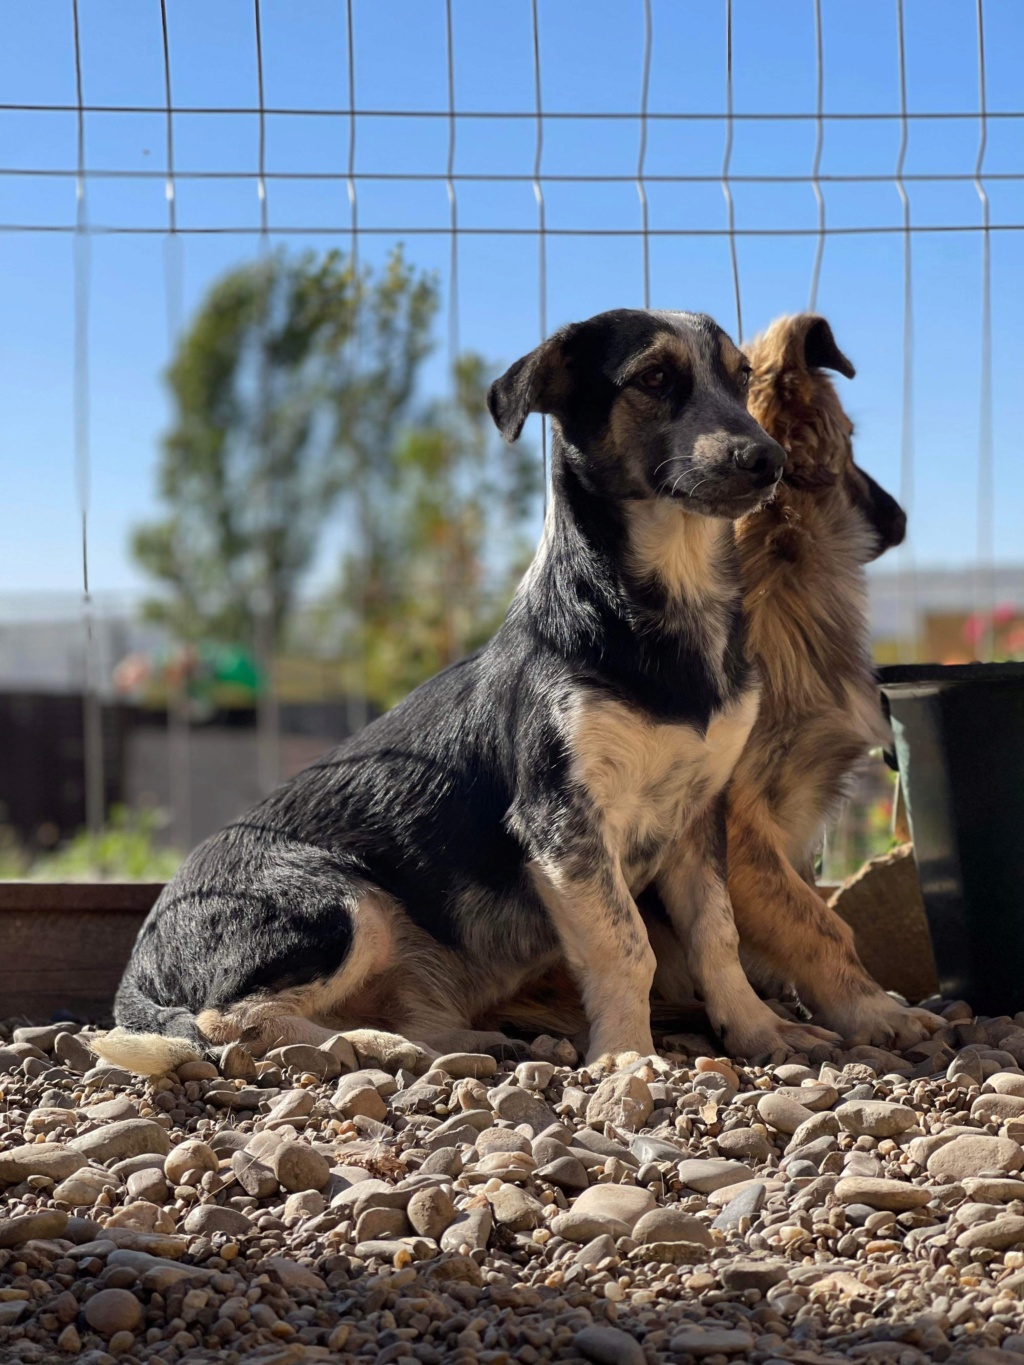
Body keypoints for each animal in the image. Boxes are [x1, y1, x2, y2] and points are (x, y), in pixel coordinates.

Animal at [100, 309, 846, 1075]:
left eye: (741, 378)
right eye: (654, 377)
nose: (767, 460)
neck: (666, 613)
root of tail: (136, 967)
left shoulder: (697, 815)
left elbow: (717, 937)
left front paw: (759, 1031)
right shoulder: (562, 820)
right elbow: (626, 945)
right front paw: (628, 1057)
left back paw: (457, 1040)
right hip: (338, 902)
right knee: (230, 1019)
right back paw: (373, 1047)